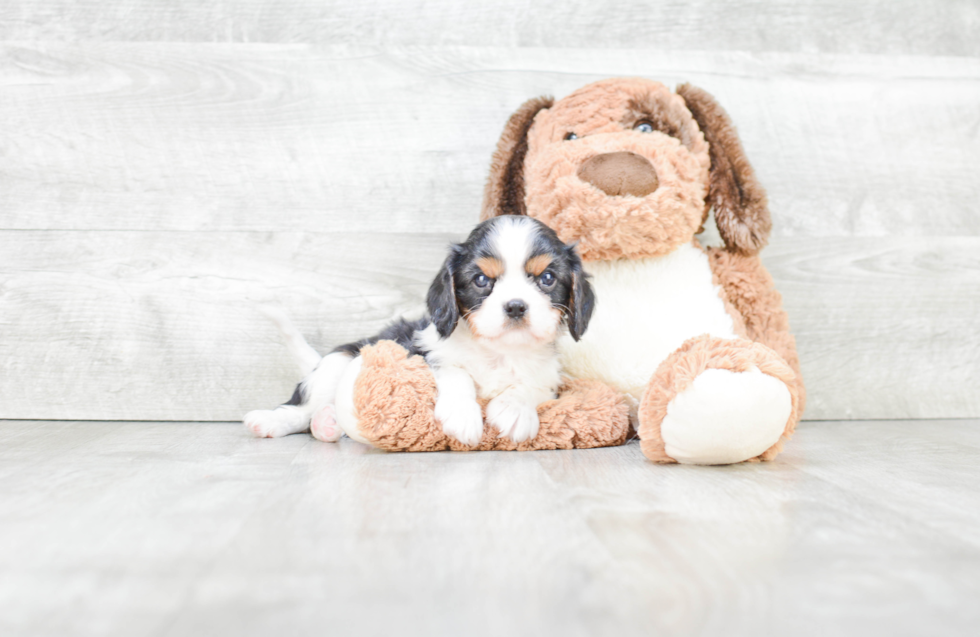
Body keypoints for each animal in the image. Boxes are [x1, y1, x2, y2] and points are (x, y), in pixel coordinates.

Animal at [245, 216, 596, 444]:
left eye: (547, 278)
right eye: (481, 280)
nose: (515, 306)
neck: (498, 353)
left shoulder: (548, 380)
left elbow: (528, 387)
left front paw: (514, 409)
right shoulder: (426, 351)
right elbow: (456, 373)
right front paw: (462, 414)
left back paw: (329, 423)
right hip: (337, 363)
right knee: (301, 408)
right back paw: (272, 420)